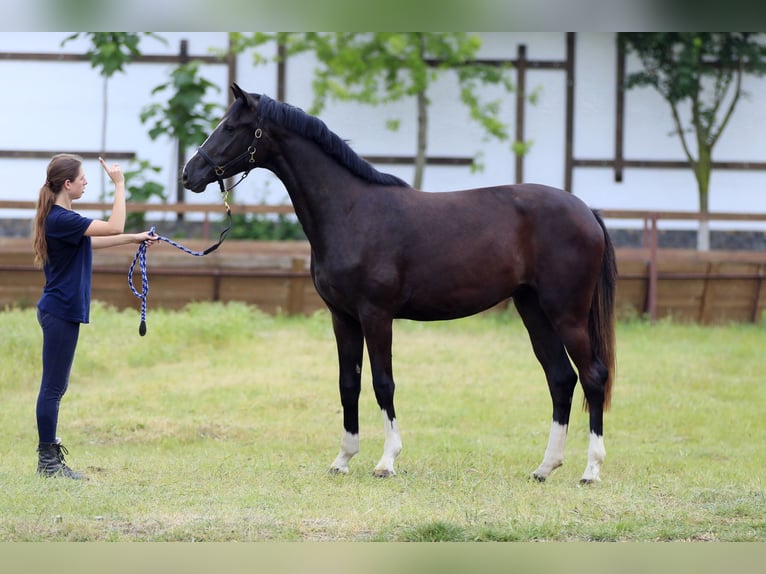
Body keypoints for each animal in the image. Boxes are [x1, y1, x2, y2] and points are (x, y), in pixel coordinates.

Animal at [183, 83, 620, 484]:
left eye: (231, 127)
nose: (190, 174)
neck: (351, 211)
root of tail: (586, 211)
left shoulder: (376, 315)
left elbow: (383, 384)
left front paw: (386, 461)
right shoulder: (342, 317)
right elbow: (348, 384)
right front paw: (343, 459)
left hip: (567, 314)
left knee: (592, 376)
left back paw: (591, 470)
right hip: (533, 309)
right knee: (561, 379)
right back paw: (545, 467)